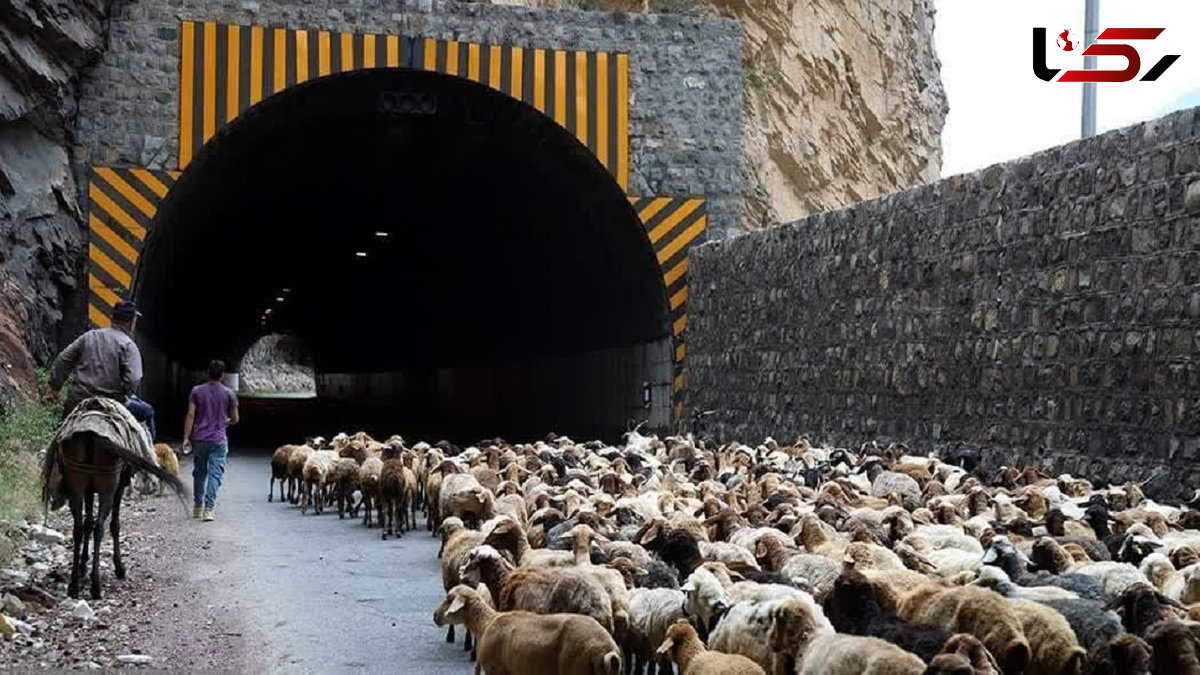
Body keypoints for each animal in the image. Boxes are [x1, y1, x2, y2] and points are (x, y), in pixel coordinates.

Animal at [434, 583, 624, 672]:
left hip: (575, 667)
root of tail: (607, 649)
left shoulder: (497, 670)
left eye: (449, 599)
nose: (435, 616)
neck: (486, 623)